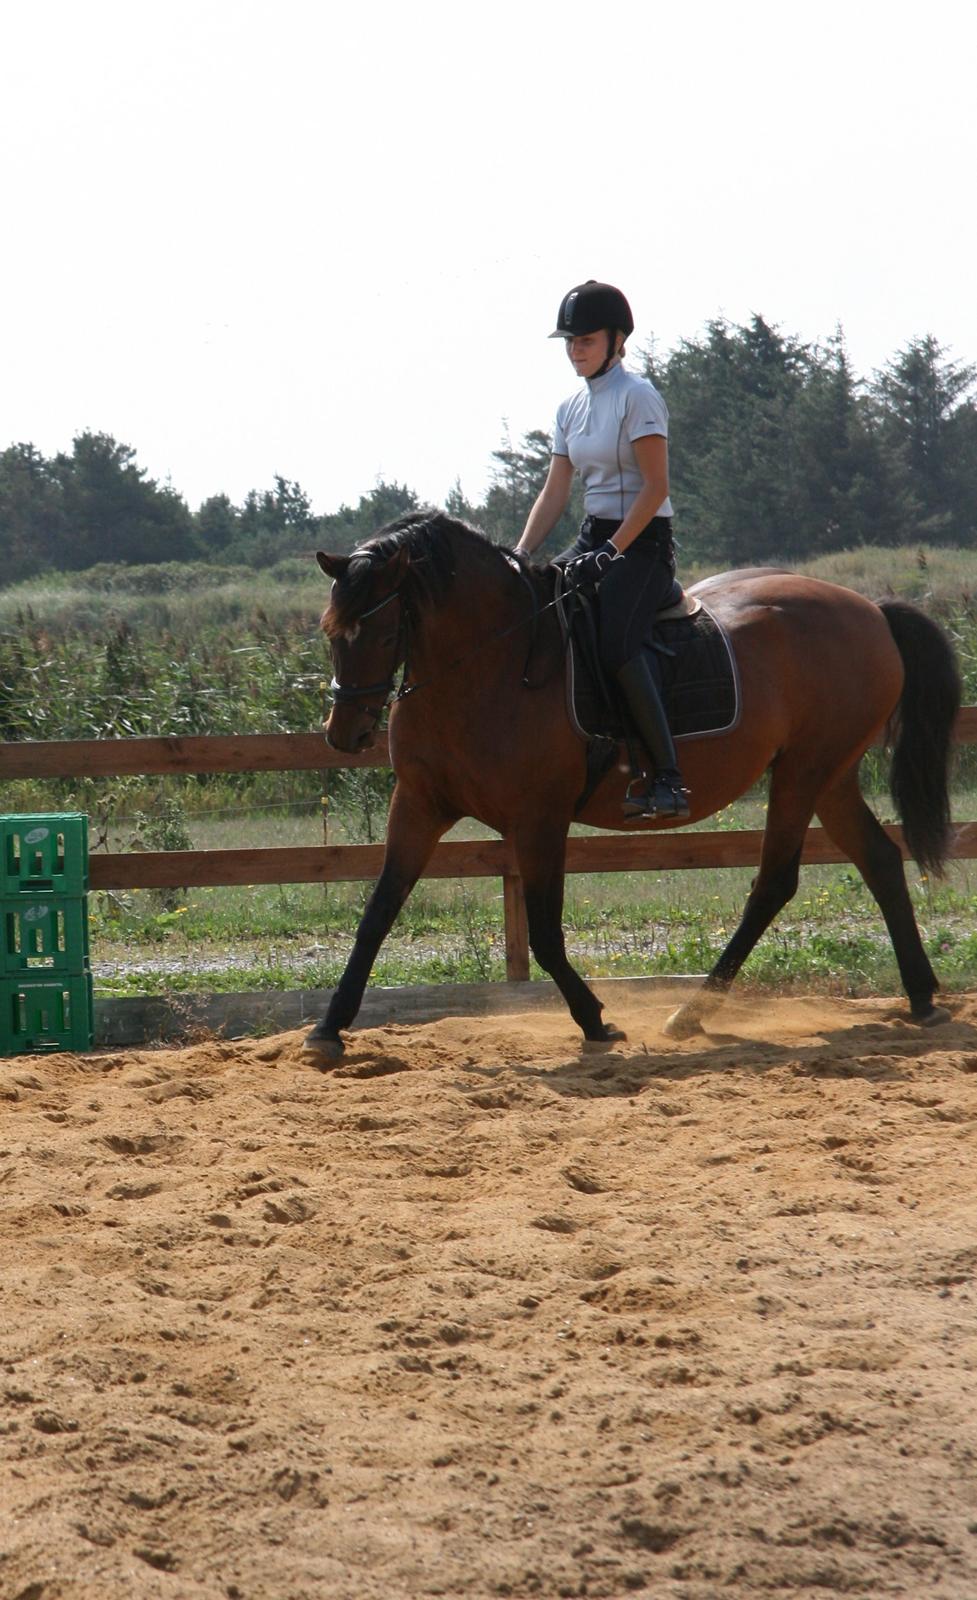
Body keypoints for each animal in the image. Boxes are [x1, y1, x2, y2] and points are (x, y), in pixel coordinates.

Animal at [303, 512, 953, 1062]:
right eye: (331, 632)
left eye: (382, 635)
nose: (344, 733)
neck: (487, 664)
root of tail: (870, 608)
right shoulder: (418, 805)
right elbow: (376, 914)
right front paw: (328, 1029)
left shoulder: (539, 819)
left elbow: (544, 934)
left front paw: (594, 1020)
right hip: (830, 775)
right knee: (879, 858)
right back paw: (922, 998)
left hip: (803, 771)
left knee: (774, 883)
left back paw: (691, 1014)